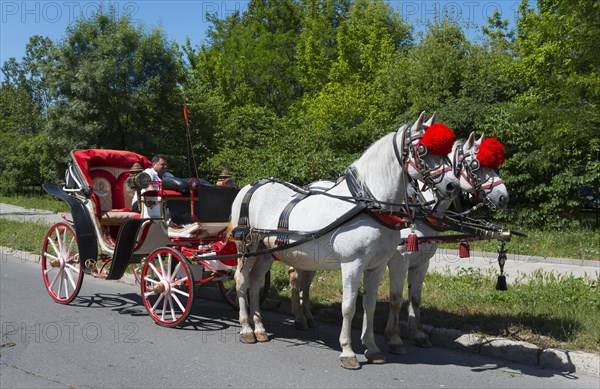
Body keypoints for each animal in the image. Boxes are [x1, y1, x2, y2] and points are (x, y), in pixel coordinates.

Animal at [230, 111, 460, 366]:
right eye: (423, 149)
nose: (452, 185)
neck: (369, 204)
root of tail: (250, 186)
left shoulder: (377, 265)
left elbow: (369, 306)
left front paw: (372, 347)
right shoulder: (352, 264)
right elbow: (348, 307)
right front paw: (348, 351)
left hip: (267, 251)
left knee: (255, 282)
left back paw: (259, 327)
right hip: (247, 246)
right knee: (241, 279)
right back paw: (246, 329)